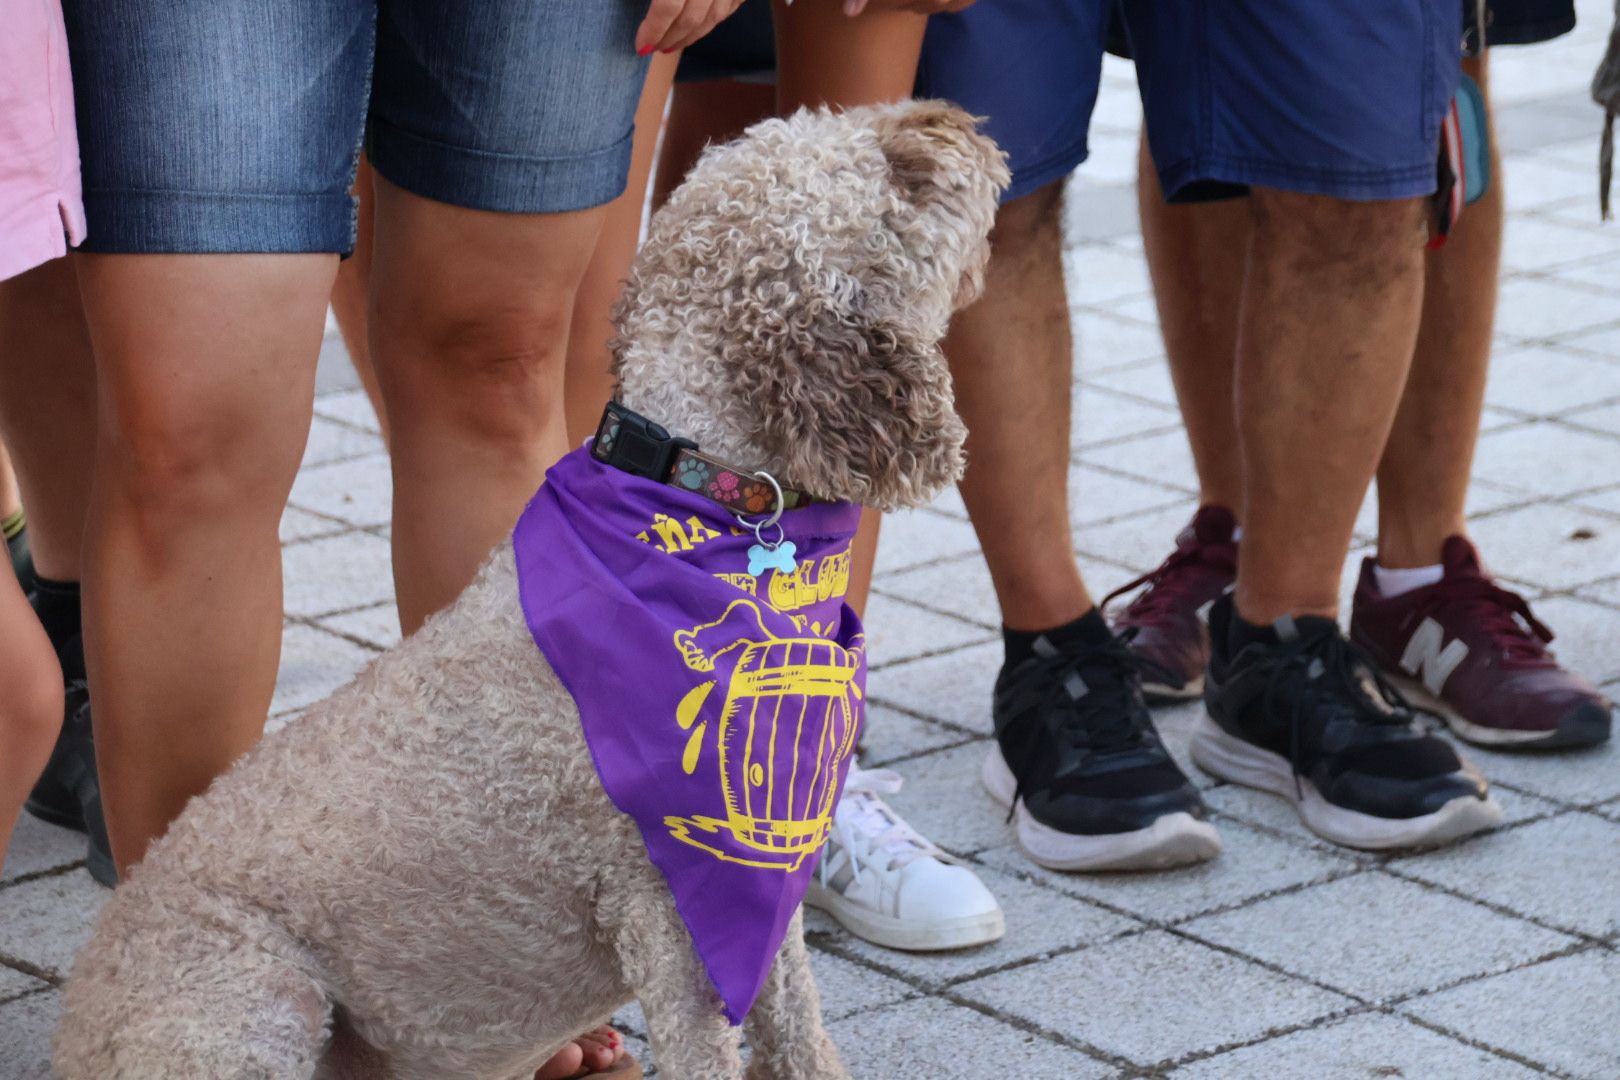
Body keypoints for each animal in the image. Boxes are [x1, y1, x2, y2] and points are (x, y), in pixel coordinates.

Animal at [57, 101, 1004, 1080]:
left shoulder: (758, 895)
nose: (955, 119)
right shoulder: (670, 911)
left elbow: (801, 1028)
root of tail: (79, 1008)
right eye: (901, 172)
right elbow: (711, 1048)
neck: (700, 493)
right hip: (250, 1000)